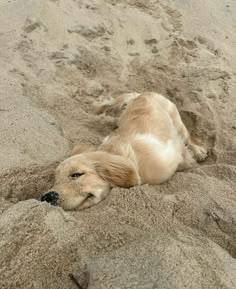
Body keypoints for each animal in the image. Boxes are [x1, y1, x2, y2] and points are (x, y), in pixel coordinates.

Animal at [41, 91, 207, 209]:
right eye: (55, 180)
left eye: (76, 174)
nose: (47, 197)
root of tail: (142, 93)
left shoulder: (174, 151)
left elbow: (186, 157)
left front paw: (194, 161)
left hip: (177, 123)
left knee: (188, 137)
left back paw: (200, 151)